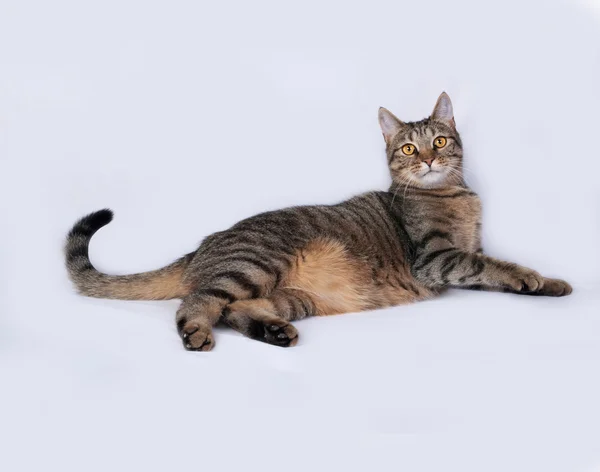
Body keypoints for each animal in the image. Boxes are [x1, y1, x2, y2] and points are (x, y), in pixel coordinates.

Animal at [65, 92, 572, 350]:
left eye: (441, 141)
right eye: (409, 148)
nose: (428, 159)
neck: (452, 193)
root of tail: (203, 245)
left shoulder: (467, 251)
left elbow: (492, 267)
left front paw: (552, 284)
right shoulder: (439, 258)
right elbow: (496, 265)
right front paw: (531, 276)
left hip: (292, 297)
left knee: (235, 310)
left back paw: (274, 332)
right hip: (255, 263)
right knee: (198, 303)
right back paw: (196, 333)